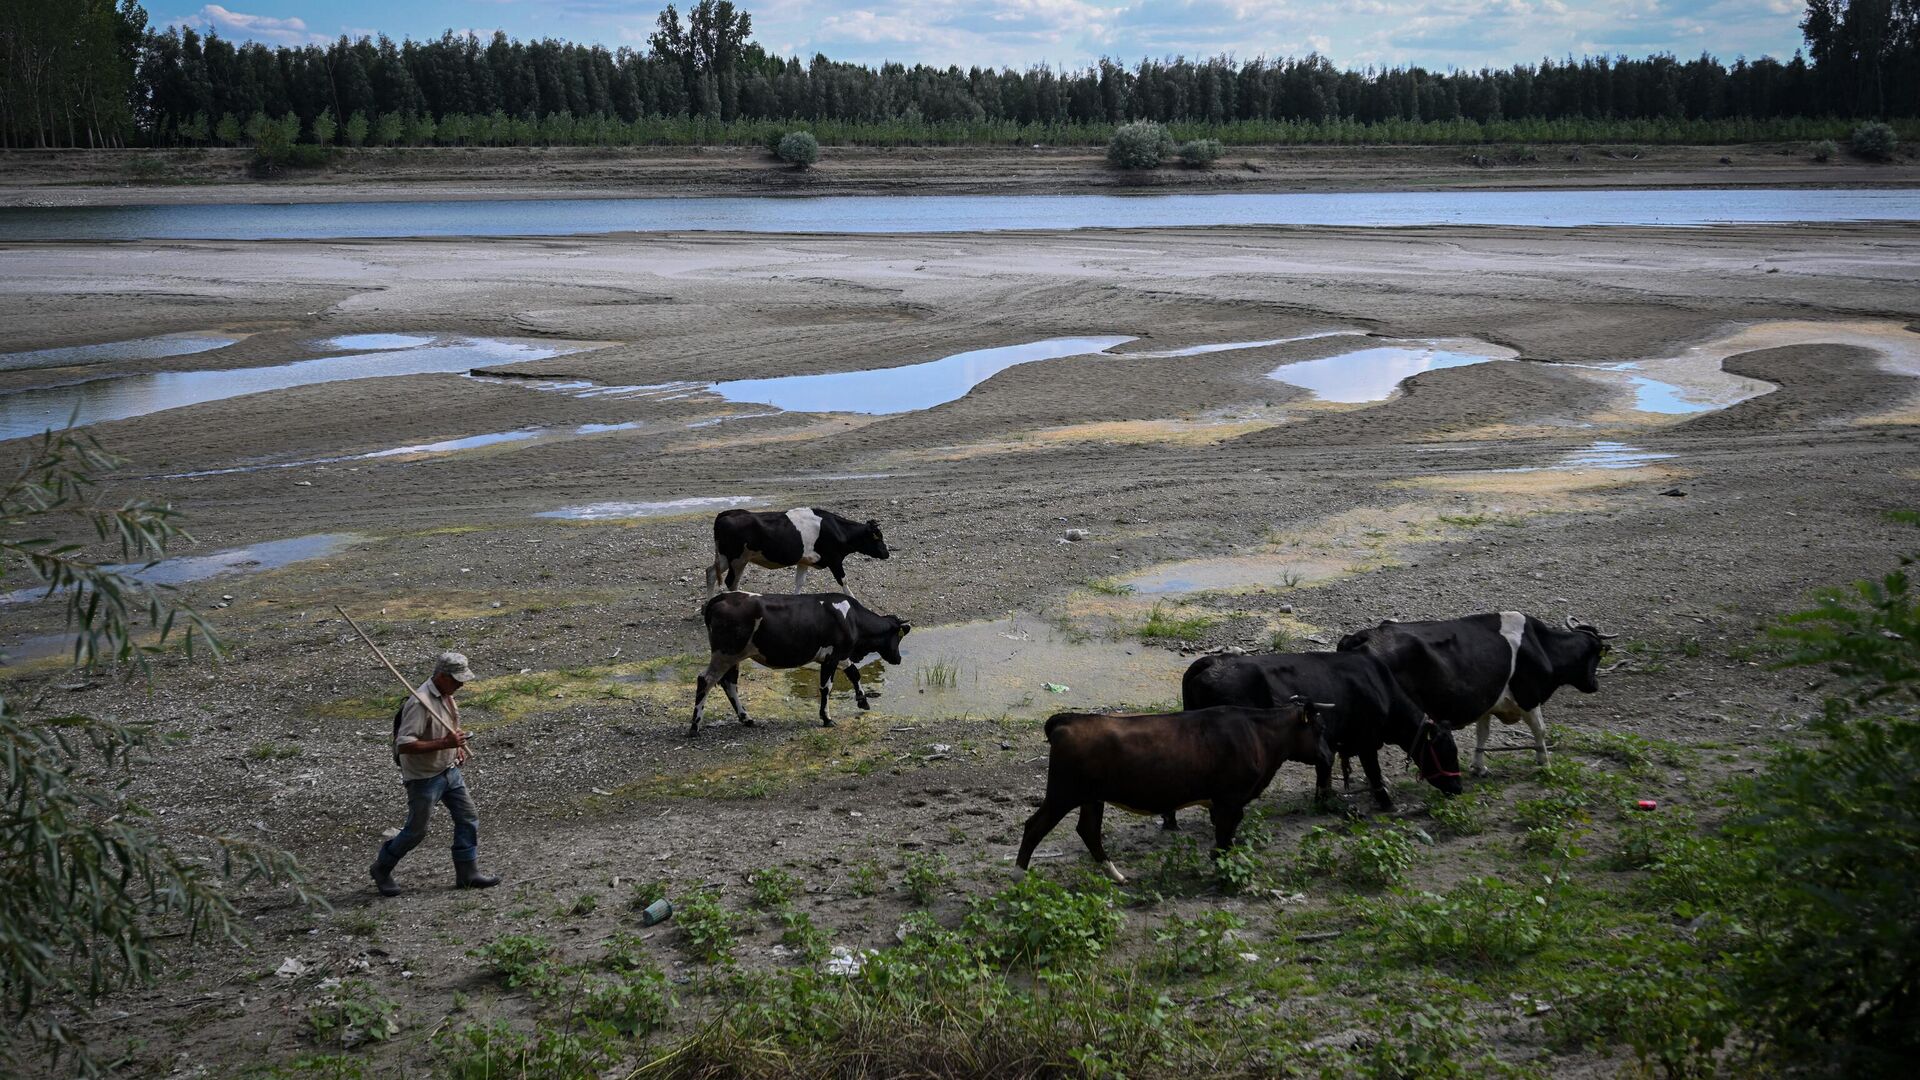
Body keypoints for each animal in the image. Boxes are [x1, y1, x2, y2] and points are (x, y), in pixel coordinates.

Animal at [695, 588, 910, 730]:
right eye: (899, 636)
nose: (899, 659)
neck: (852, 618)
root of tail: (721, 597)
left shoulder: (839, 655)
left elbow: (854, 673)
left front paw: (863, 701)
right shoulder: (832, 657)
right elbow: (826, 688)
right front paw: (826, 718)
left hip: (732, 656)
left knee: (728, 683)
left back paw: (746, 718)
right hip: (725, 654)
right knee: (706, 680)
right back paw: (695, 726)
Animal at [706, 507, 890, 595]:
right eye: (877, 537)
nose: (886, 553)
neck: (837, 529)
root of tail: (726, 514)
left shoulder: (805, 560)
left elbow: (799, 582)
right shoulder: (834, 559)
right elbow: (843, 582)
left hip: (725, 557)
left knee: (710, 572)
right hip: (738, 559)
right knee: (731, 581)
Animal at [1013, 699, 1328, 883]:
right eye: (1319, 729)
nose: (1327, 755)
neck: (1257, 732)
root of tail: (1069, 719)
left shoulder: (1225, 803)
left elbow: (1224, 838)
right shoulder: (1230, 800)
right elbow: (1224, 838)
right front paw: (1223, 871)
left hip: (1091, 797)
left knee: (1088, 831)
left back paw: (1117, 876)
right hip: (1064, 793)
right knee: (1034, 827)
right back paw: (1019, 877)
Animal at [1175, 645, 1459, 807]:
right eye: (1446, 751)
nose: (1458, 788)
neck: (1382, 689)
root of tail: (1212, 662)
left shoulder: (1330, 741)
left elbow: (1325, 770)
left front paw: (1324, 801)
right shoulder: (1367, 740)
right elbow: (1374, 772)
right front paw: (1387, 803)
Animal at [1336, 614, 1620, 772]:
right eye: (1598, 653)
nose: (1595, 685)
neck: (1541, 645)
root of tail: (1361, 637)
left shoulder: (1487, 701)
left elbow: (1483, 734)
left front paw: (1478, 766)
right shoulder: (1529, 697)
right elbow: (1540, 730)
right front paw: (1545, 763)